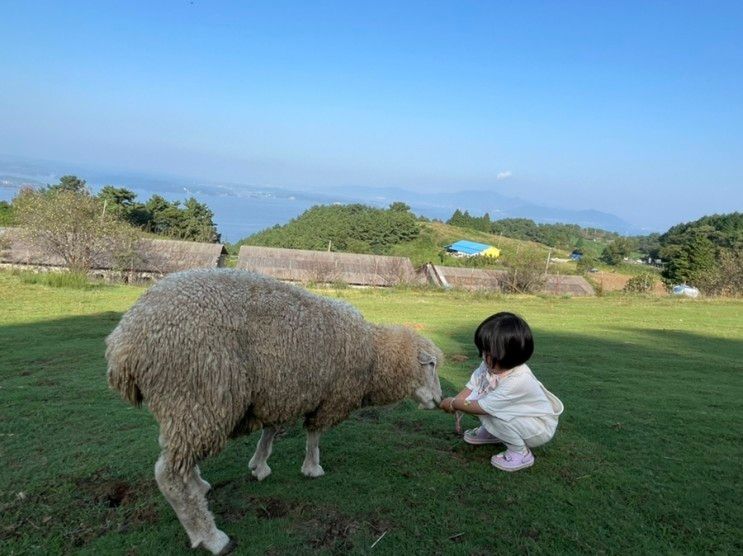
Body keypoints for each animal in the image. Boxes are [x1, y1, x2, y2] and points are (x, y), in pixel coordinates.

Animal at [104, 268, 442, 552]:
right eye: (431, 365)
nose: (439, 400)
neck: (373, 356)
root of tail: (123, 343)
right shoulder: (329, 397)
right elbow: (314, 435)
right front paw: (312, 468)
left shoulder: (279, 393)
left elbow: (270, 431)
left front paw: (259, 464)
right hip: (198, 393)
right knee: (168, 474)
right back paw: (210, 536)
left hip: (184, 406)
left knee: (179, 458)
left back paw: (198, 486)